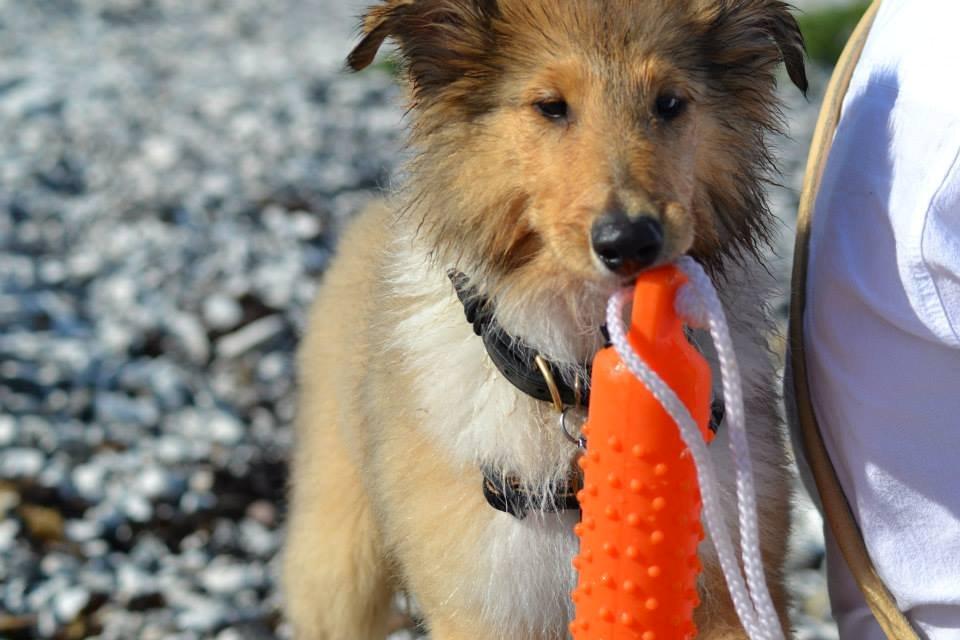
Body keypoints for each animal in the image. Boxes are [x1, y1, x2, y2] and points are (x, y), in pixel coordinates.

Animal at [282, 2, 808, 636]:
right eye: (551, 106)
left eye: (669, 103)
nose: (629, 243)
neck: (578, 376)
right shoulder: (484, 601)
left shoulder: (731, 586)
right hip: (338, 564)